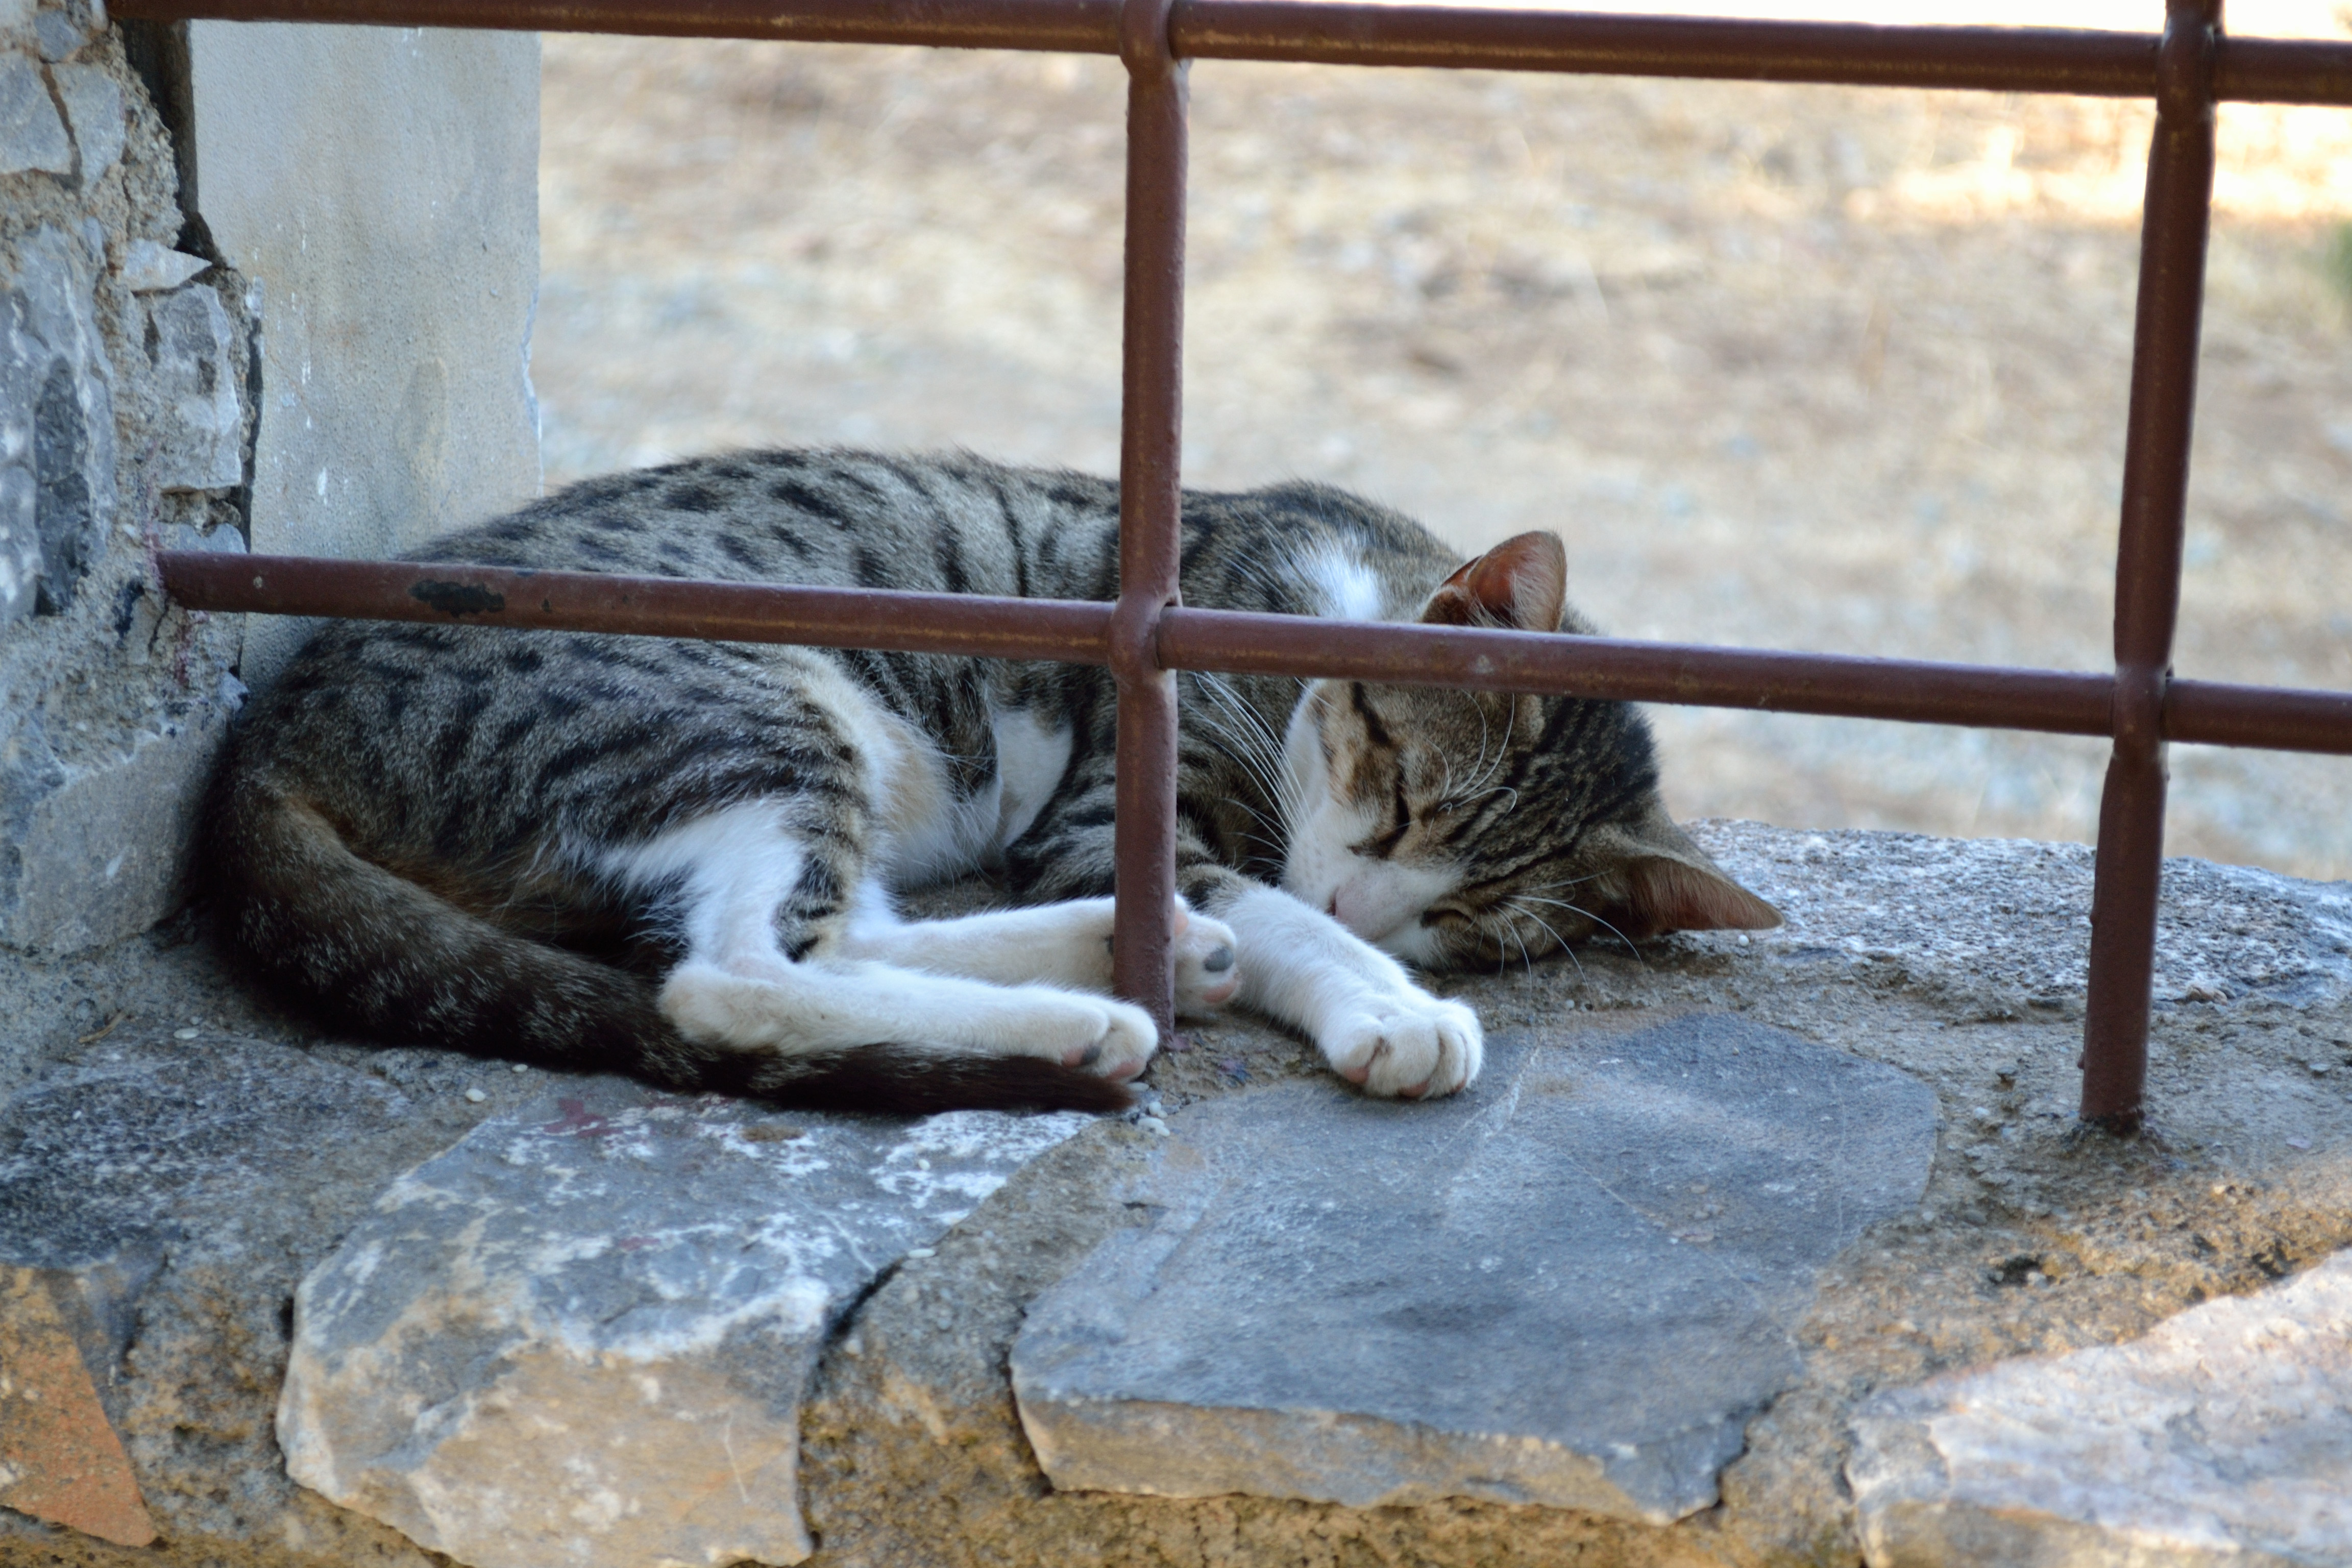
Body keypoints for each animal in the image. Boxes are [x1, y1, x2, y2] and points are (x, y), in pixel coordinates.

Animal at [211, 451, 1769, 1114]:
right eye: (1393, 792)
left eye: (1465, 915)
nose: (1370, 905)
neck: (1317, 599)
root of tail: (271, 731)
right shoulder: (1120, 799)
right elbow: (1272, 903)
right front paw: (1381, 1003)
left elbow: (1260, 898)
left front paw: (1352, 963)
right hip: (742, 711)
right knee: (732, 976)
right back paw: (1083, 1018)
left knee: (842, 937)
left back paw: (1125, 962)